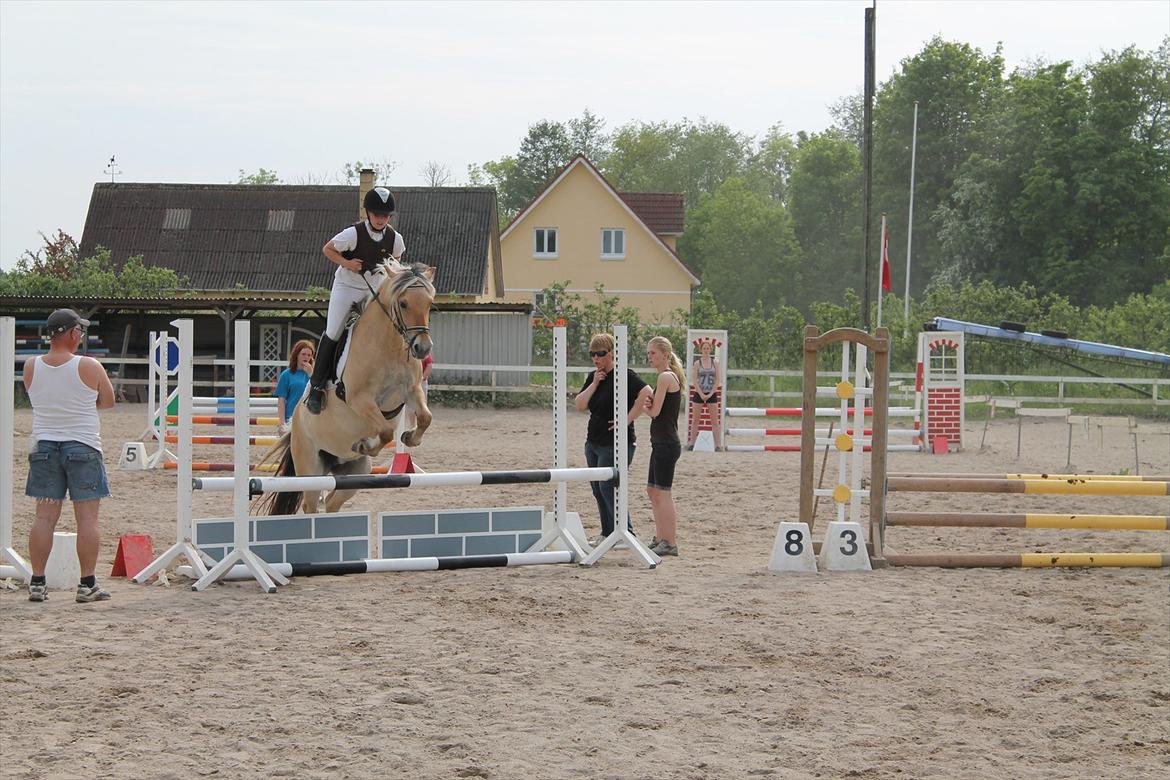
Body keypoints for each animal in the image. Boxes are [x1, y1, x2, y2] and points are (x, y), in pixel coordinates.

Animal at [259, 264, 435, 519]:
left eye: (429, 303)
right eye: (403, 303)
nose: (422, 348)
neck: (388, 346)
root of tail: (295, 427)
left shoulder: (411, 391)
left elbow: (424, 417)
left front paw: (410, 437)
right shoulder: (360, 399)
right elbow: (384, 431)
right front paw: (366, 445)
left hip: (354, 472)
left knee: (333, 501)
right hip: (311, 469)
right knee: (310, 504)